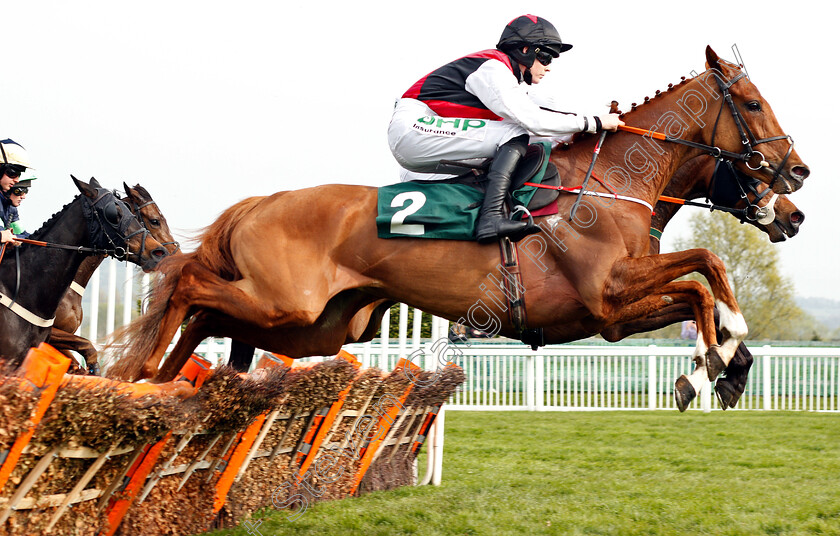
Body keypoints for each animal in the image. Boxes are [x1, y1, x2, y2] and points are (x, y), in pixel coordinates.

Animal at [108, 48, 812, 410]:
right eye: (753, 105)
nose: (798, 186)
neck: (609, 181)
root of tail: (258, 203)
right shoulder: (609, 292)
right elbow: (704, 274)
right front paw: (711, 363)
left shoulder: (611, 317)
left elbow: (700, 285)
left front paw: (729, 367)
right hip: (289, 303)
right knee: (189, 286)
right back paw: (139, 371)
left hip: (318, 325)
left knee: (208, 312)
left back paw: (155, 378)